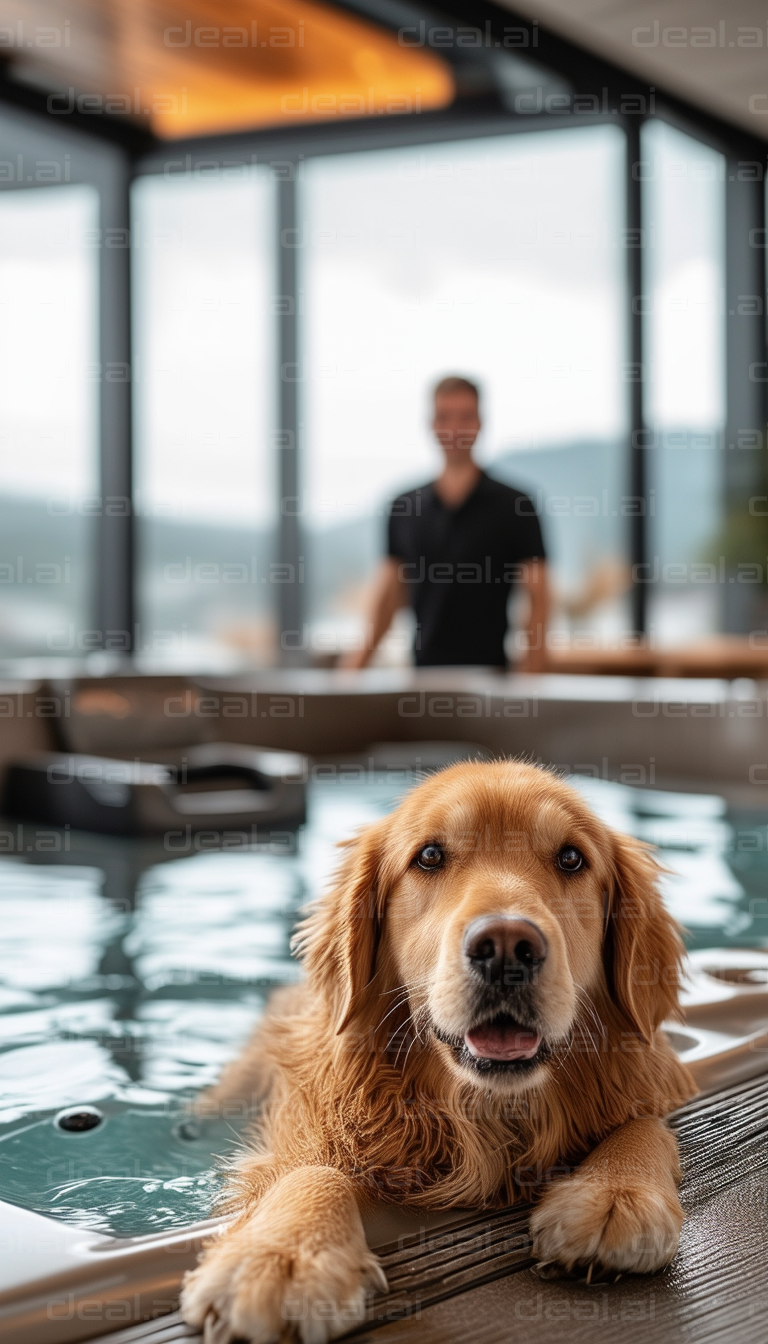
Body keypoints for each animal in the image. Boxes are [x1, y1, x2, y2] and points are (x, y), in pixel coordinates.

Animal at [182, 763, 699, 1338]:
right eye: (429, 856)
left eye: (571, 858)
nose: (506, 948)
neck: (488, 1115)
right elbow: (314, 1168)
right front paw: (284, 1253)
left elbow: (644, 1122)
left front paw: (617, 1191)